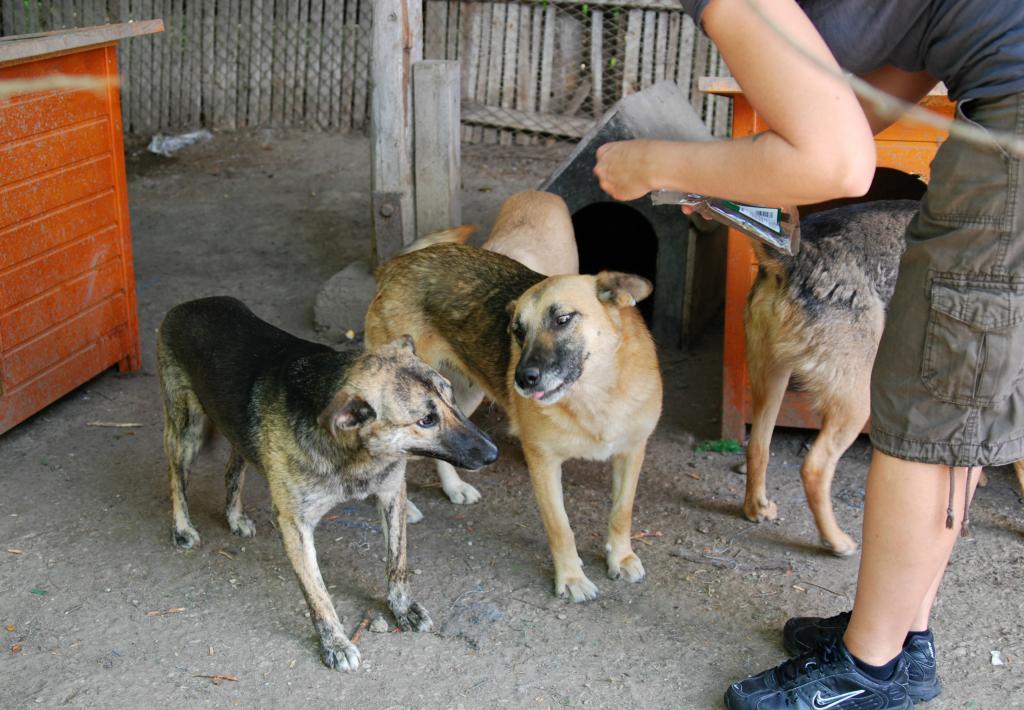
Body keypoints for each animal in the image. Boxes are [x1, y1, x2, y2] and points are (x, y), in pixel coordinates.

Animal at [154, 297, 499, 672]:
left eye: (452, 397)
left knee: (232, 469)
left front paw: (402, 607)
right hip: (186, 429)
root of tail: (189, 305)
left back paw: (234, 516)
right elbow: (318, 594)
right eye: (426, 420)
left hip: (239, 432)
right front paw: (335, 643)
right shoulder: (295, 525)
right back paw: (182, 528)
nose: (493, 453)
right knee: (176, 477)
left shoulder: (392, 494)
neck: (355, 454)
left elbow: (397, 564)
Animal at [364, 244, 659, 602]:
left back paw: (453, 487)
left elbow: (621, 513)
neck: (596, 396)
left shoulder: (632, 452)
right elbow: (560, 527)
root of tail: (397, 263)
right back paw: (401, 506)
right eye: (518, 332)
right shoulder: (543, 462)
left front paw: (621, 557)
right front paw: (571, 578)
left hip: (459, 399)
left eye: (563, 319)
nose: (522, 379)